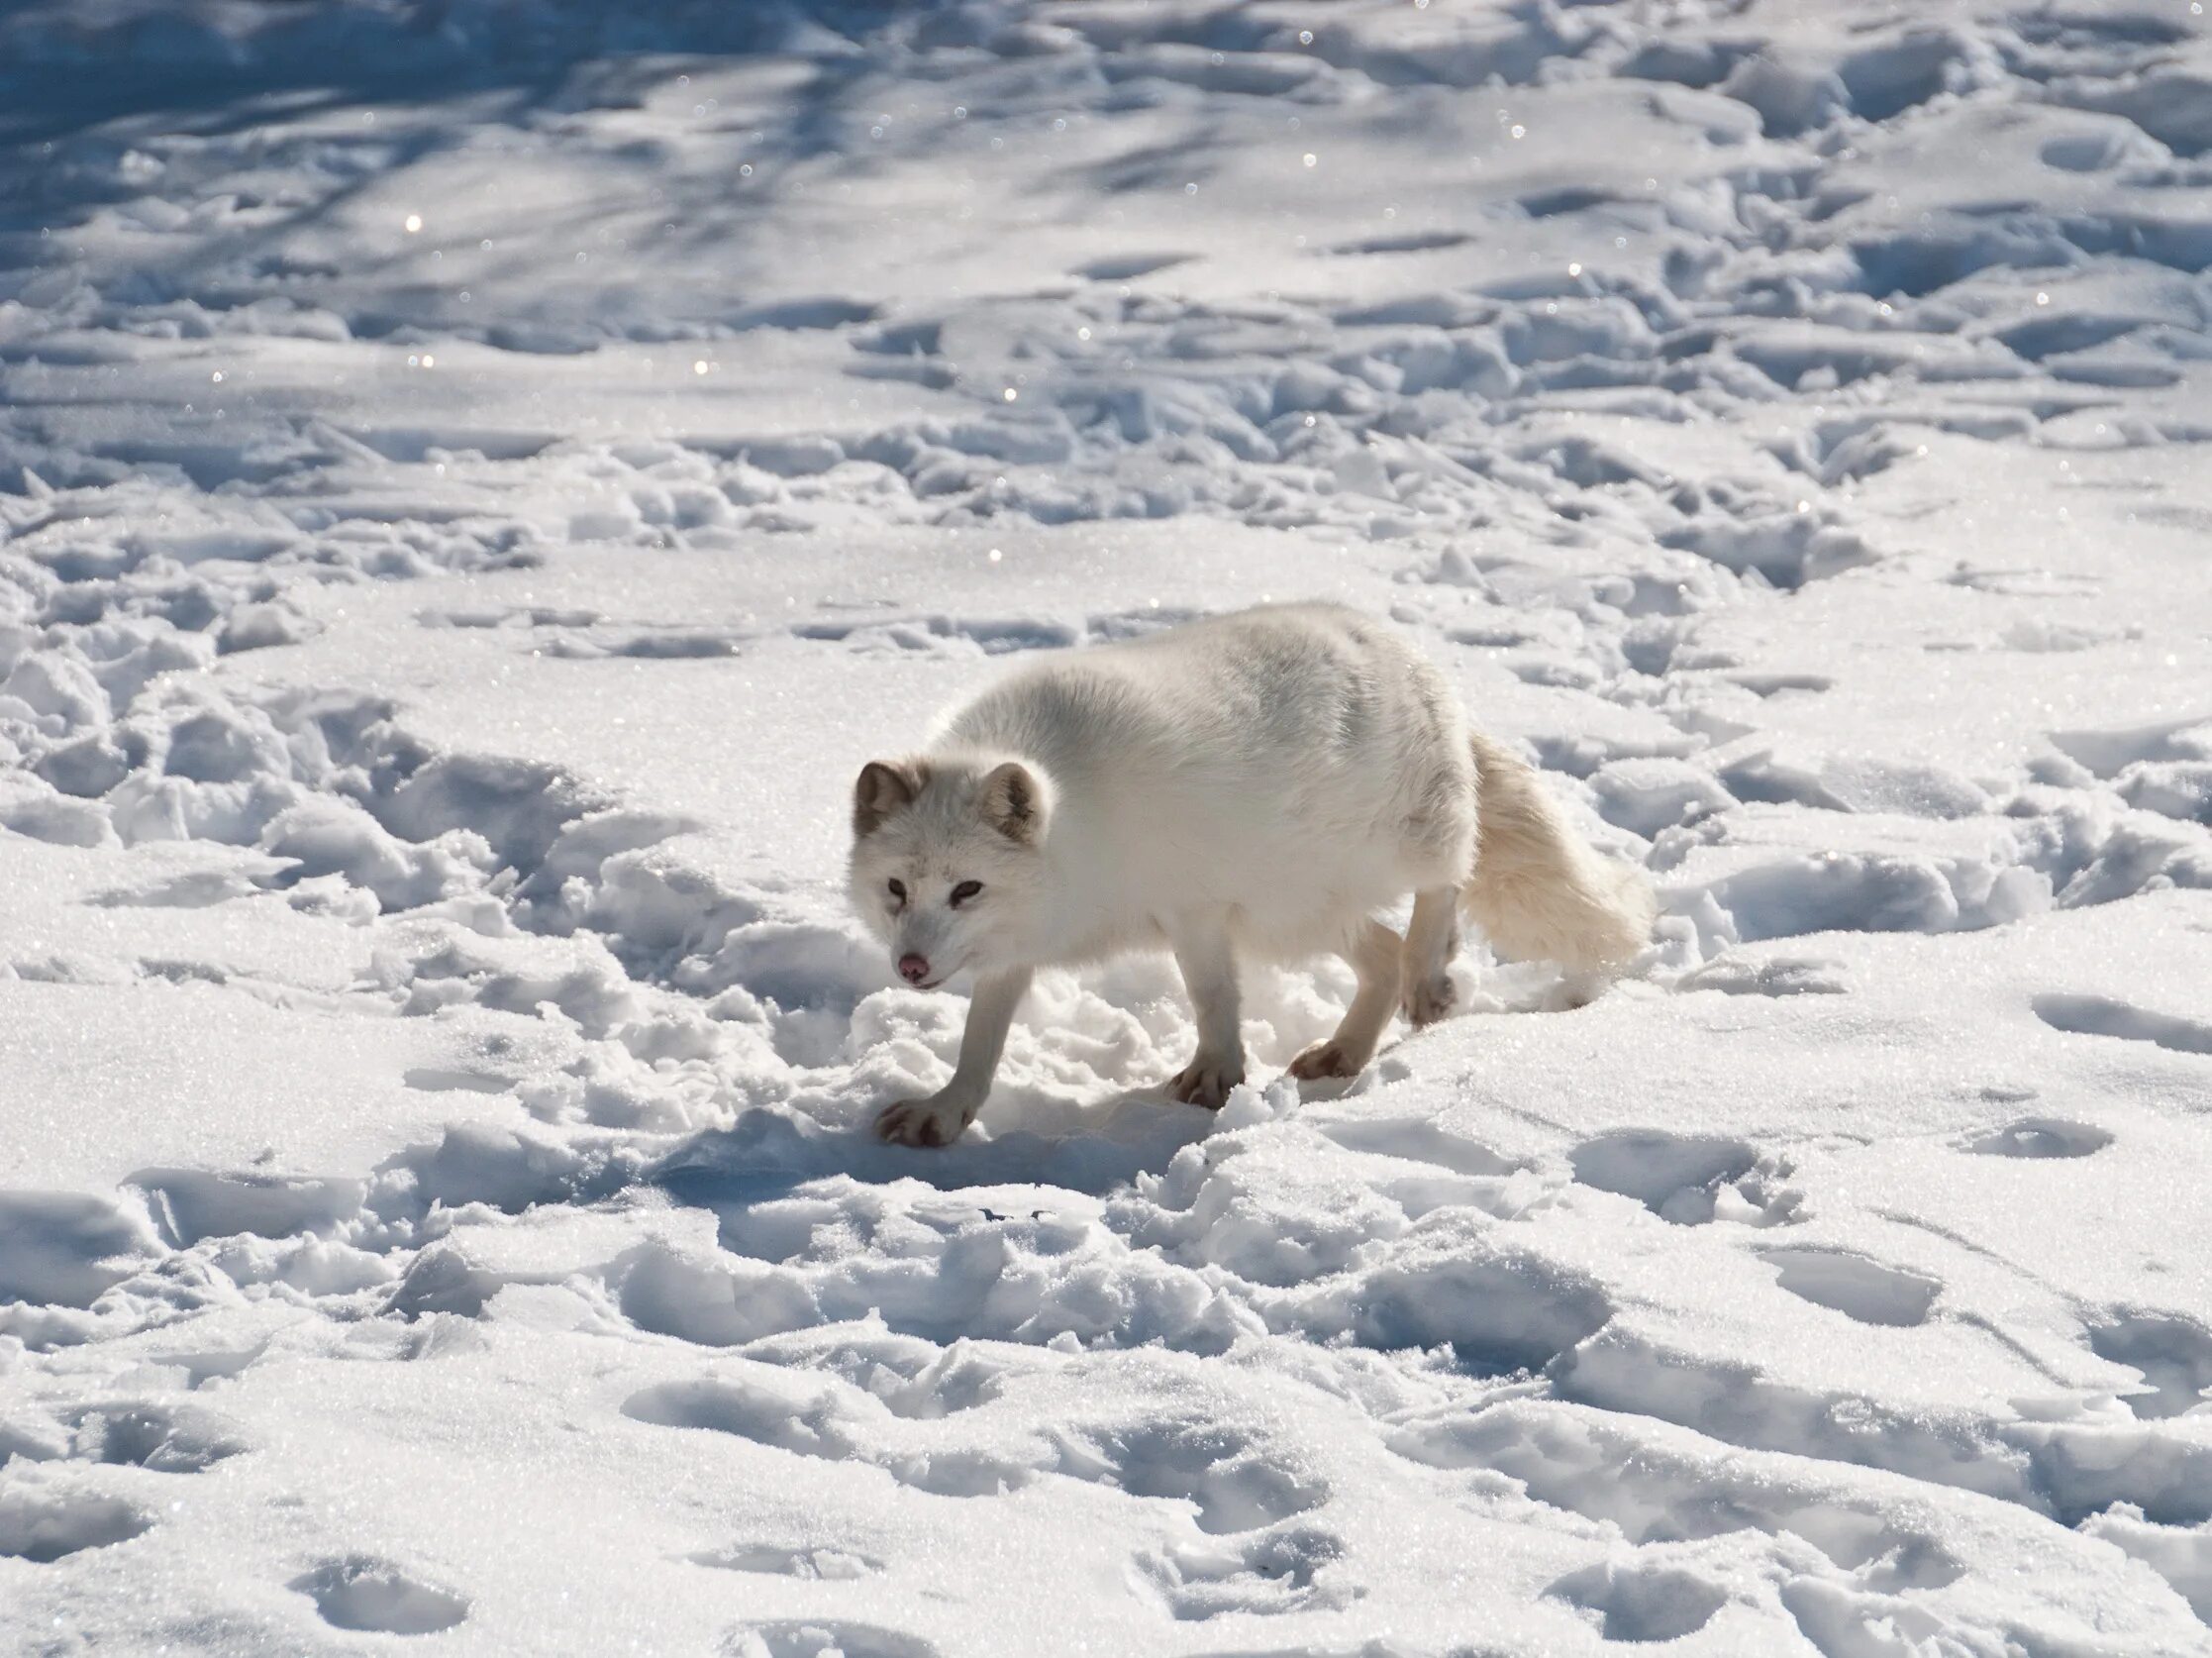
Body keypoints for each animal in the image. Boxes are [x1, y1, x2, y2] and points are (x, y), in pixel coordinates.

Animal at [854, 601, 1655, 1142]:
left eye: (967, 889)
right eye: (896, 889)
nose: (912, 967)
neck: (1080, 822)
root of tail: (1407, 654)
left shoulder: (1194, 907)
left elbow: (1211, 996)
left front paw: (1217, 1074)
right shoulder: (1018, 947)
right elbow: (980, 1039)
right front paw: (946, 1110)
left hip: (1390, 850)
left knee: (1449, 879)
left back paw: (1432, 971)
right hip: (1294, 910)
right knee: (1381, 954)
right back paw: (1345, 1051)